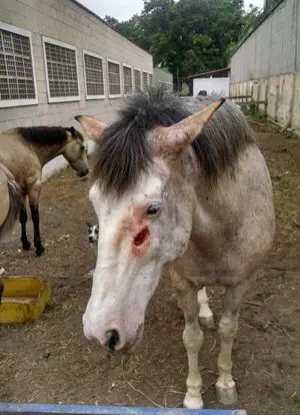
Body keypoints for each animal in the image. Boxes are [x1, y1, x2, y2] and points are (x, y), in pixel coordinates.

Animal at [0, 127, 89, 256]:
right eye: (82, 147)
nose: (86, 171)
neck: (27, 146)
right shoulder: (34, 188)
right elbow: (35, 217)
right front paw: (39, 247)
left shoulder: (21, 191)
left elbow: (23, 217)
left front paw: (25, 243)